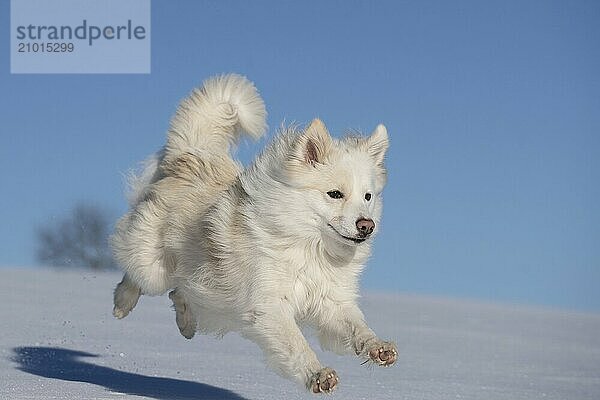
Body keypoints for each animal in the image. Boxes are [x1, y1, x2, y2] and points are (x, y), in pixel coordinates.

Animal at [110, 73, 396, 392]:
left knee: (179, 293)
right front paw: (319, 375)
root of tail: (189, 155)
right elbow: (296, 344)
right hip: (153, 268)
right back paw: (121, 305)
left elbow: (356, 327)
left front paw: (378, 348)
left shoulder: (331, 302)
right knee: (138, 276)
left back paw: (186, 325)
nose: (366, 226)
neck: (311, 247)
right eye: (335, 194)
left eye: (368, 197)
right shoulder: (269, 305)